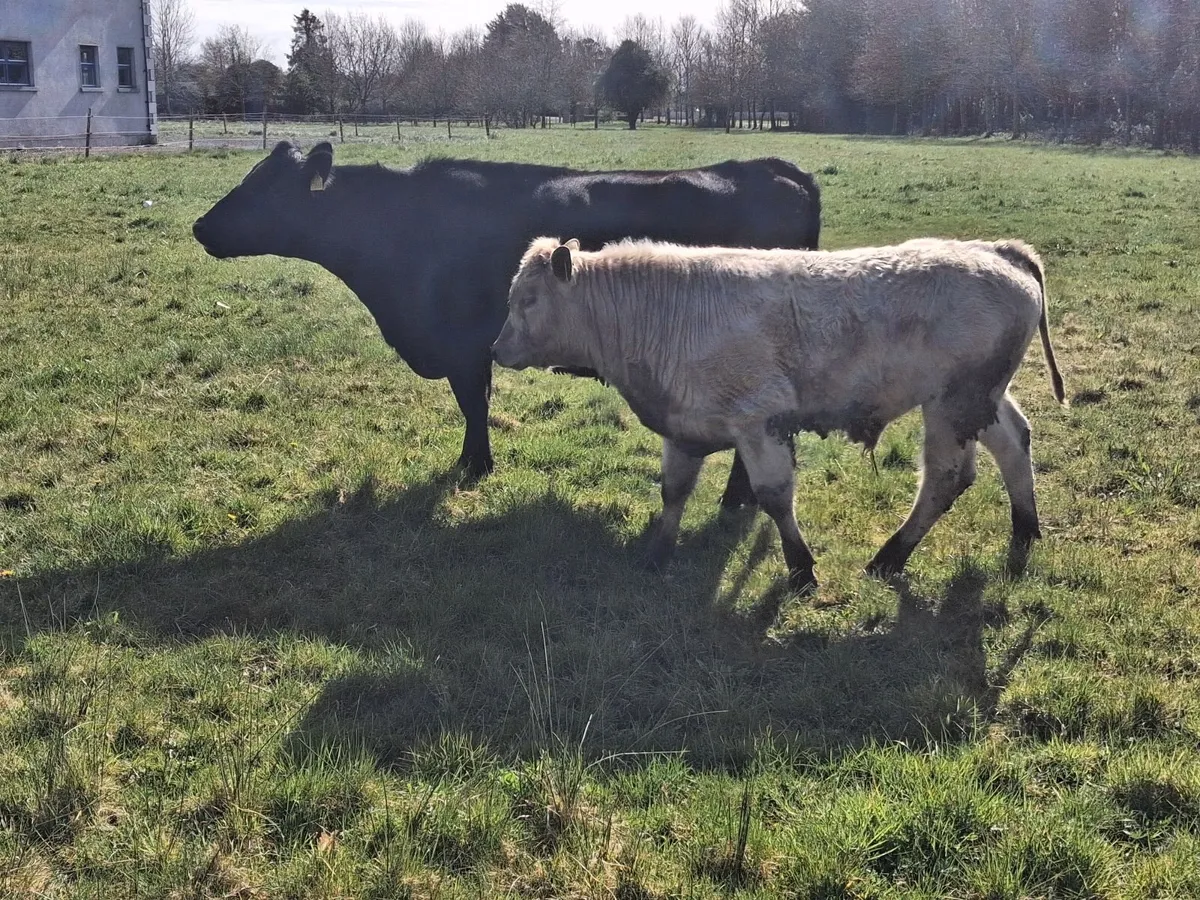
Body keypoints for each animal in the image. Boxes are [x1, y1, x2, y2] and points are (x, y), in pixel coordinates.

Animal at [191, 141, 821, 511]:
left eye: (268, 188)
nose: (200, 226)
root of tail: (776, 168)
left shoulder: (463, 344)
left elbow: (473, 404)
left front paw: (475, 465)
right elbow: (478, 403)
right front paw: (473, 462)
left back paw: (738, 499)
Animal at [492, 236, 1066, 592]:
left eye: (528, 299)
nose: (496, 350)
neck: (664, 310)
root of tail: (996, 250)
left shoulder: (759, 424)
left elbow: (773, 497)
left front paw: (800, 570)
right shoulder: (683, 426)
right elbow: (673, 492)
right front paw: (656, 553)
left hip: (952, 404)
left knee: (946, 478)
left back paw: (889, 557)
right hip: (981, 400)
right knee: (1014, 443)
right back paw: (1024, 529)